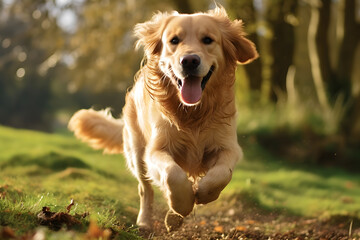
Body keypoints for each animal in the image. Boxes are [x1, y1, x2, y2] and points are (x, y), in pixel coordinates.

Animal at [69, 5, 258, 231]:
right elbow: (172, 174)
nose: (189, 61)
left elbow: (222, 173)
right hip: (137, 153)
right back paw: (147, 220)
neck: (193, 112)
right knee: (145, 189)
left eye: (208, 40)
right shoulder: (156, 150)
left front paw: (203, 192)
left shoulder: (228, 146)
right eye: (174, 40)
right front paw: (182, 204)